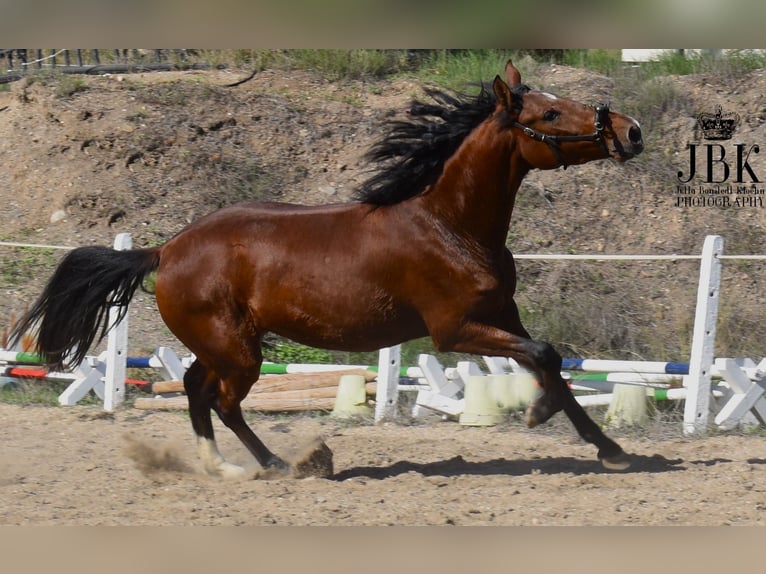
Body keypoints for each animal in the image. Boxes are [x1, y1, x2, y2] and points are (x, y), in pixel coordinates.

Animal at [9, 60, 644, 480]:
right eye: (550, 112)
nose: (630, 130)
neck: (452, 224)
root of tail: (164, 250)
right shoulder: (454, 329)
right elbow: (541, 355)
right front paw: (537, 412)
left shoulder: (501, 314)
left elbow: (552, 359)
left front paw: (608, 449)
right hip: (238, 350)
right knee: (222, 400)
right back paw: (280, 464)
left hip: (225, 346)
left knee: (194, 389)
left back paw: (224, 467)